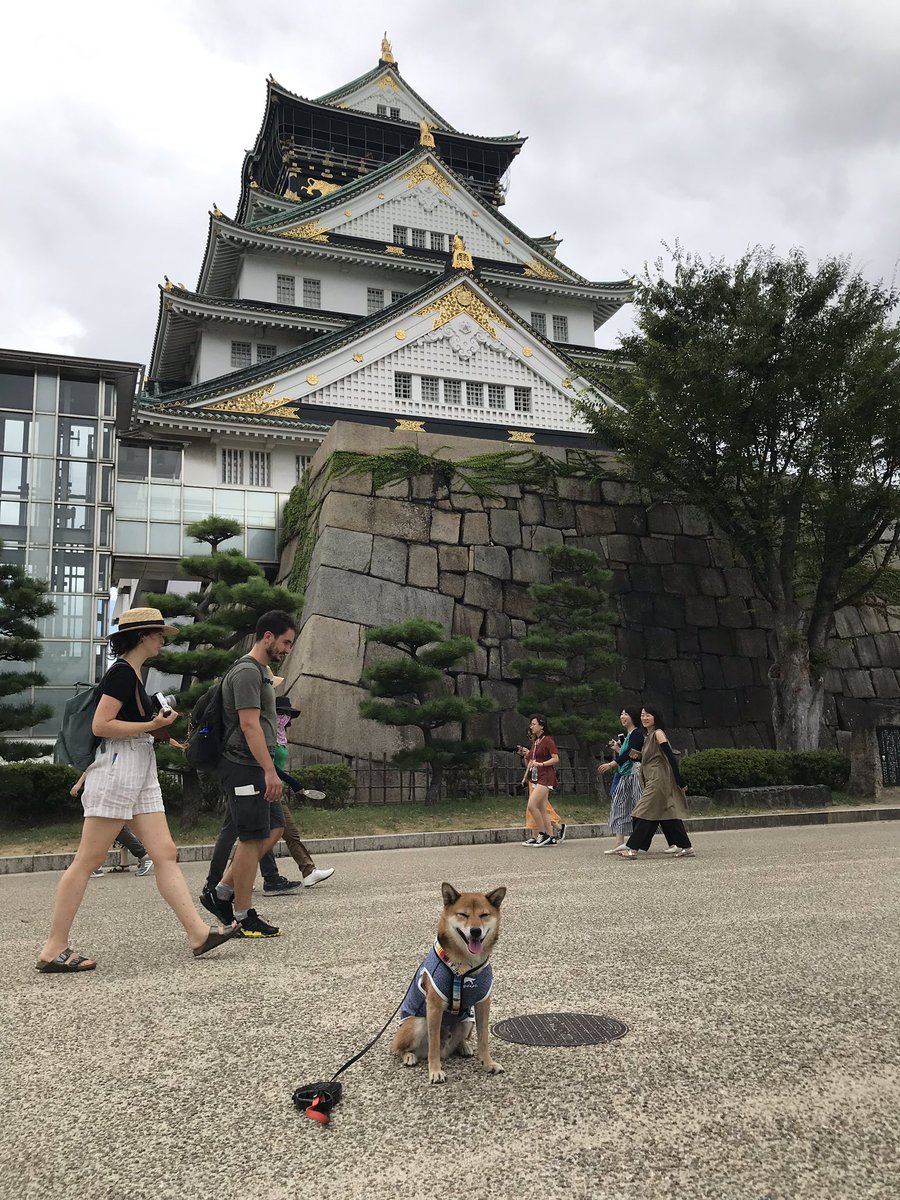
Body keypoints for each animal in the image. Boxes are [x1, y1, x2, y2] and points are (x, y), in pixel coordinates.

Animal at [391, 883, 508, 1089]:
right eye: (463, 915)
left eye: (484, 915)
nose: (475, 931)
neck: (464, 967)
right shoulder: (434, 1006)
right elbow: (434, 1045)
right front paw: (435, 1071)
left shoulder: (482, 1003)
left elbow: (483, 1038)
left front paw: (488, 1063)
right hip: (417, 1022)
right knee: (399, 1047)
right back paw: (409, 1056)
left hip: (468, 1020)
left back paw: (464, 1046)